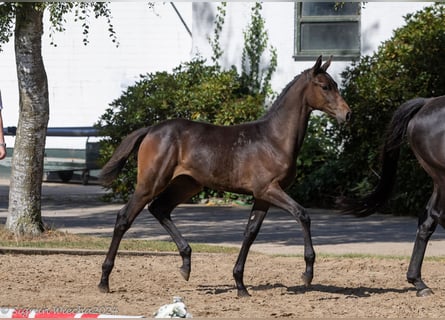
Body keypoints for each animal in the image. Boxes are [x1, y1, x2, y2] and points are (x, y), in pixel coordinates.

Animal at [97, 55, 350, 298]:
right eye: (325, 86)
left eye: (335, 85)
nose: (347, 114)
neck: (274, 139)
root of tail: (151, 129)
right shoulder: (269, 189)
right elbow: (302, 215)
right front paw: (307, 273)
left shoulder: (262, 196)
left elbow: (250, 232)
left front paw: (240, 285)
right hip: (151, 182)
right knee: (125, 218)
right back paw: (104, 281)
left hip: (187, 184)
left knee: (160, 208)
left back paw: (186, 264)